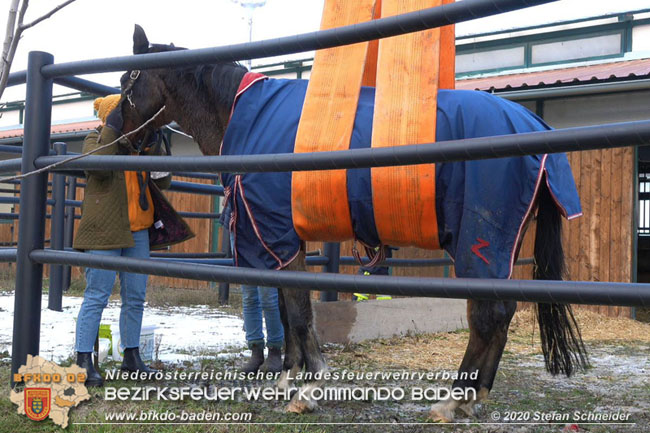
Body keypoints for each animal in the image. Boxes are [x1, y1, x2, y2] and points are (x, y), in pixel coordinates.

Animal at [117, 25, 588, 421]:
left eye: (127, 82)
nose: (118, 133)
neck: (242, 116)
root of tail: (534, 125)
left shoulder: (278, 237)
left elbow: (300, 314)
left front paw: (308, 390)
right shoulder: (284, 242)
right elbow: (287, 312)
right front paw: (288, 378)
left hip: (482, 240)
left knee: (487, 317)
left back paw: (453, 401)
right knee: (499, 314)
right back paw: (474, 398)